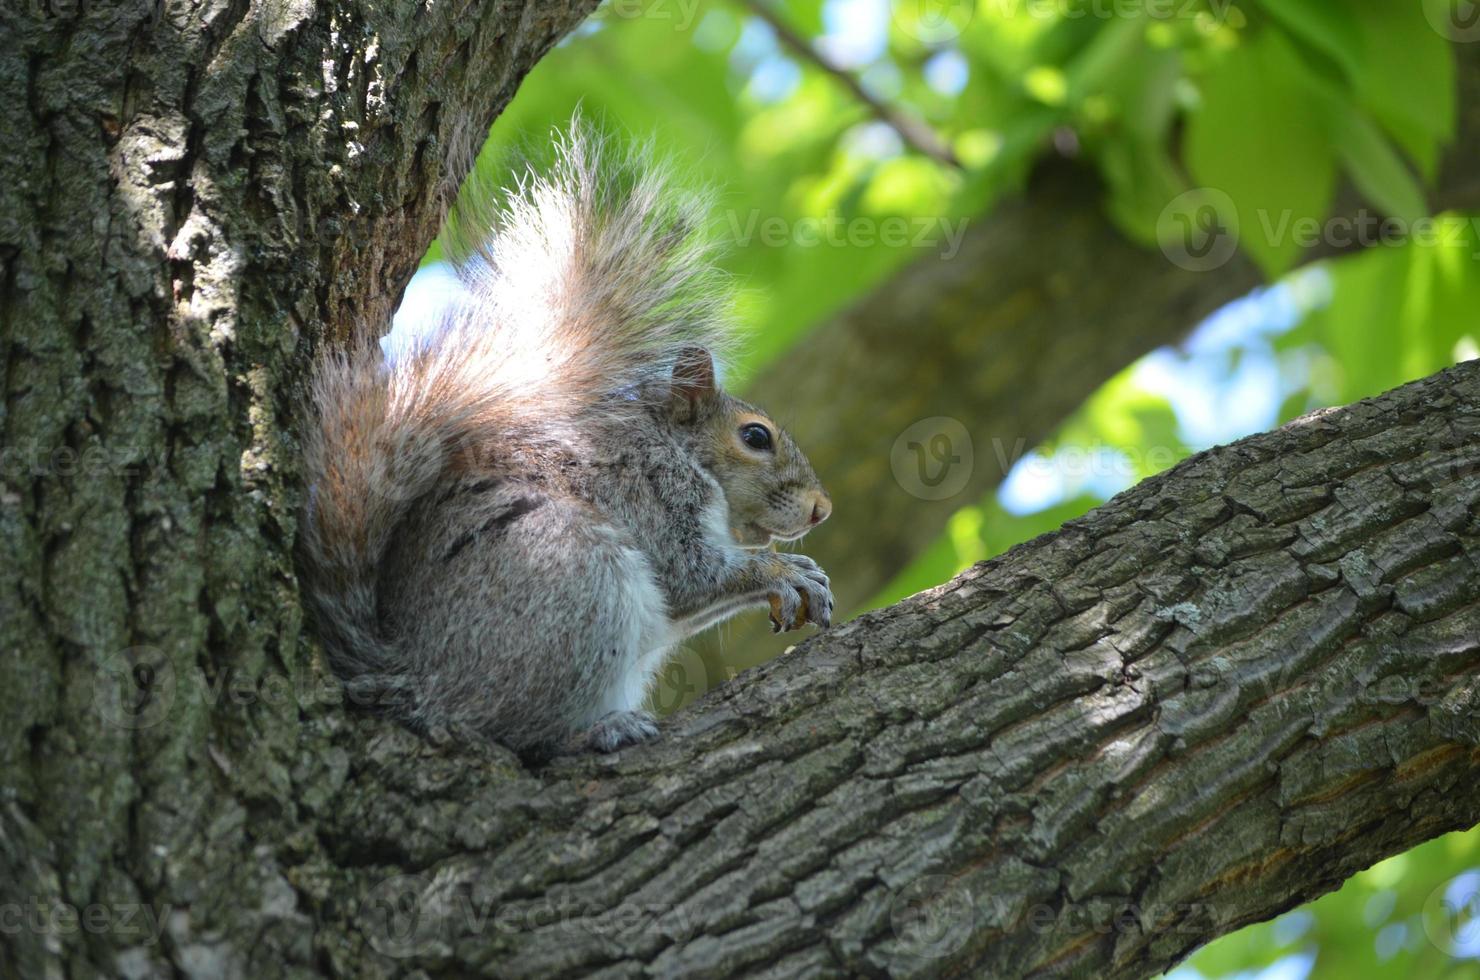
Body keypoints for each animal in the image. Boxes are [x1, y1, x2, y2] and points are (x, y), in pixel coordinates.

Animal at [300, 126, 834, 754]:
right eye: (755, 437)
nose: (823, 509)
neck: (678, 452)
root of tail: (417, 678)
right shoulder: (651, 493)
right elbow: (691, 576)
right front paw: (784, 572)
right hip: (575, 578)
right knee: (511, 728)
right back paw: (599, 729)